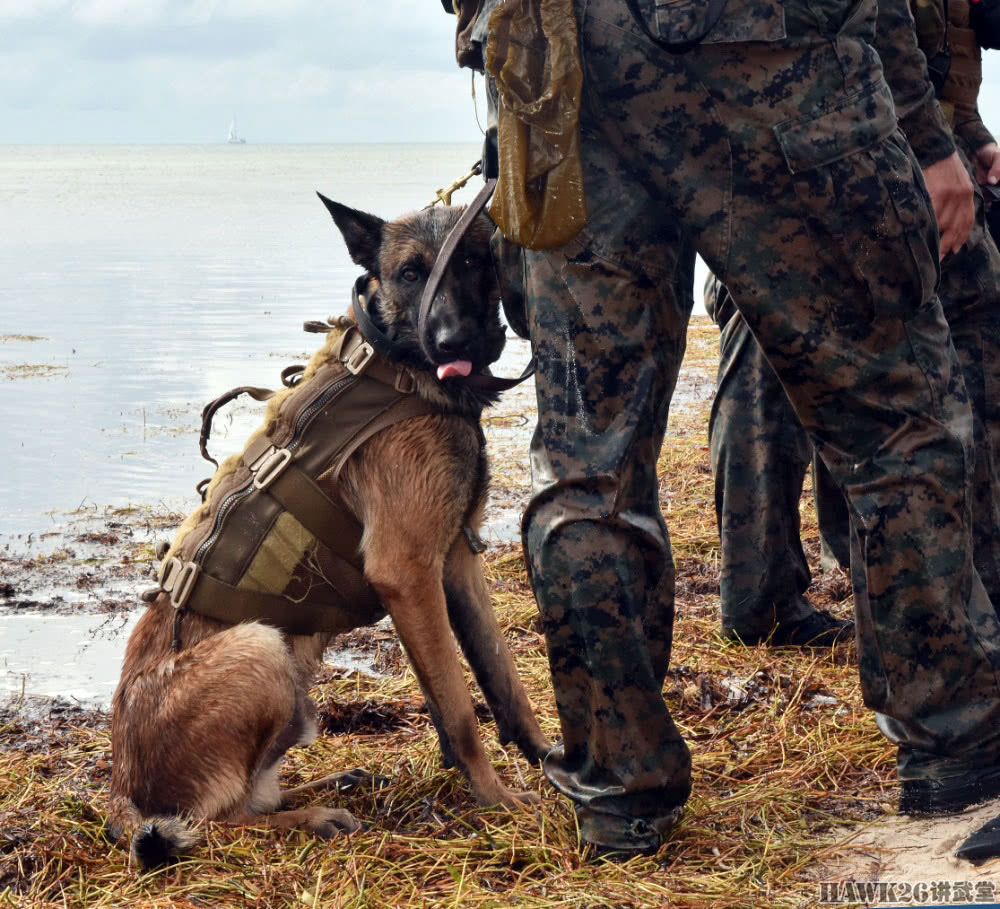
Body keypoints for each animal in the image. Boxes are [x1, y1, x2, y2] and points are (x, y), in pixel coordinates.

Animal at [109, 197, 556, 864]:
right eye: (409, 274)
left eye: (474, 260)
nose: (450, 341)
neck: (398, 364)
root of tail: (122, 795)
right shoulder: (408, 574)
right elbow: (458, 709)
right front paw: (495, 799)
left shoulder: (455, 560)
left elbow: (502, 680)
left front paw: (550, 762)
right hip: (259, 648)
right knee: (217, 821)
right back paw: (315, 816)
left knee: (253, 796)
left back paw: (330, 783)